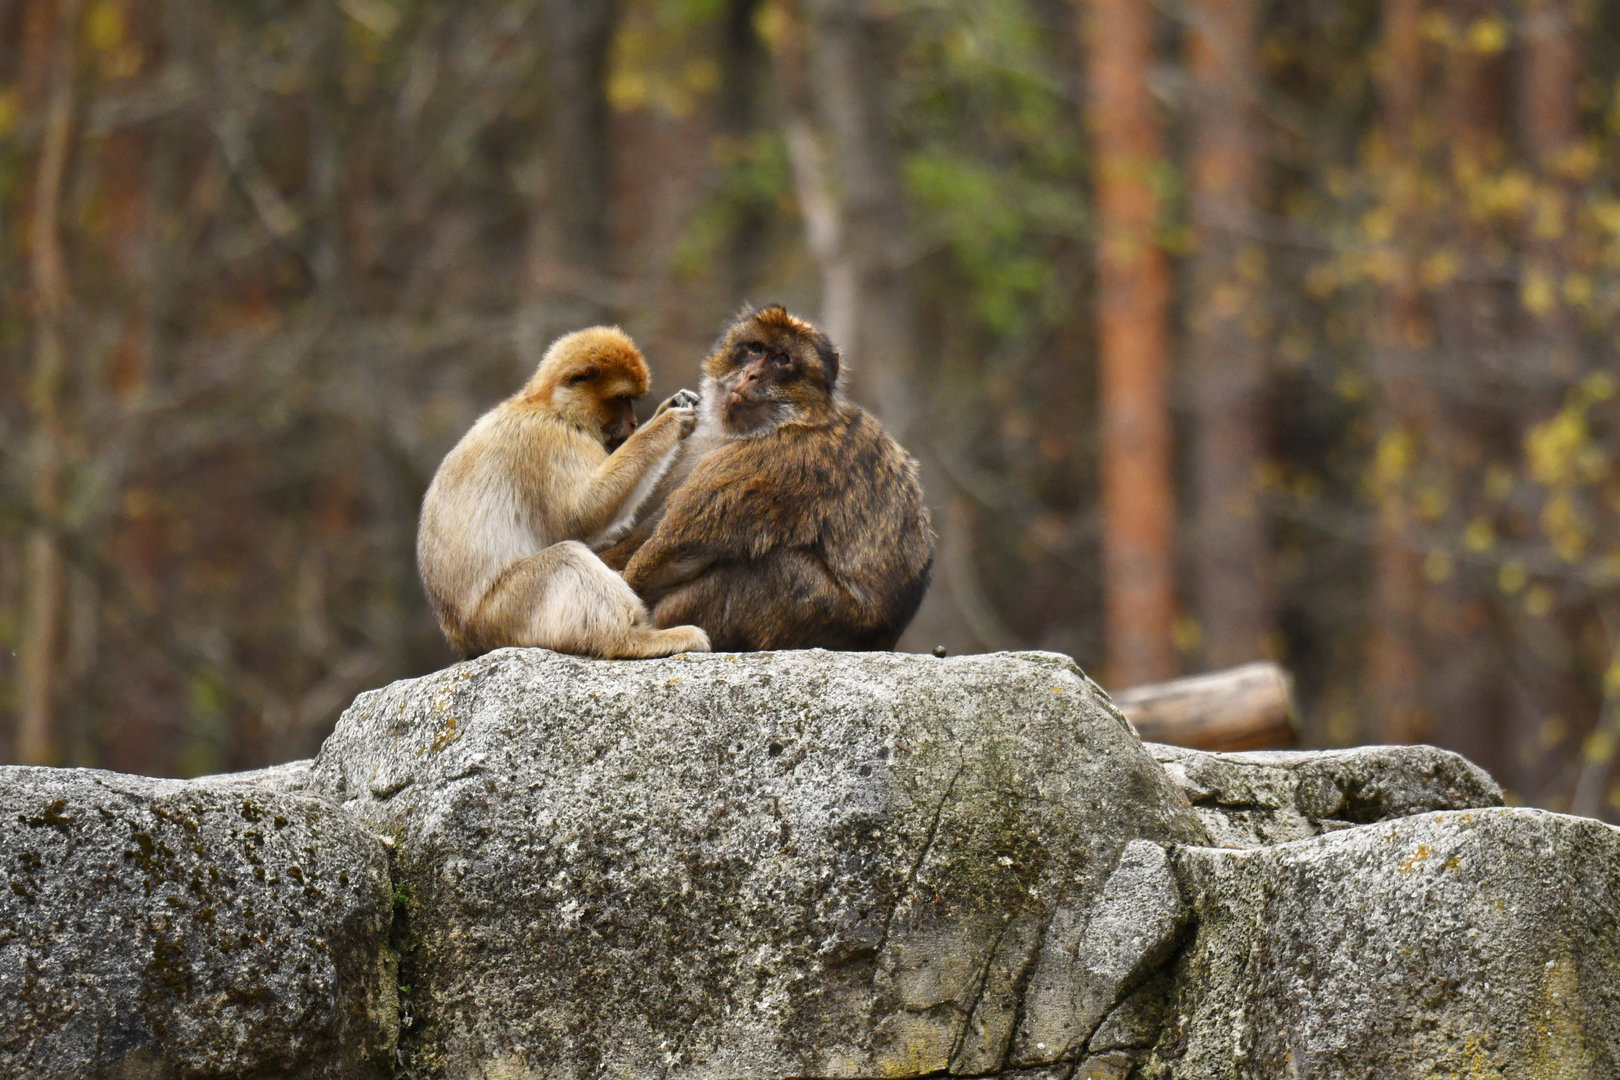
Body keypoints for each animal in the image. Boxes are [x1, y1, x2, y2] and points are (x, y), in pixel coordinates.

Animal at [416, 326, 711, 660]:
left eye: (632, 400)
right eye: (622, 398)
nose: (634, 422)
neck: (547, 406)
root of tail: (463, 638)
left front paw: (669, 406)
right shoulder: (550, 440)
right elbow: (580, 516)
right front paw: (666, 423)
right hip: (506, 611)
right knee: (565, 558)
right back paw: (632, 640)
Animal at [609, 304, 935, 652]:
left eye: (782, 360)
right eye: (756, 348)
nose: (751, 375)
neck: (787, 421)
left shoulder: (780, 460)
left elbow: (677, 549)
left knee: (766, 567)